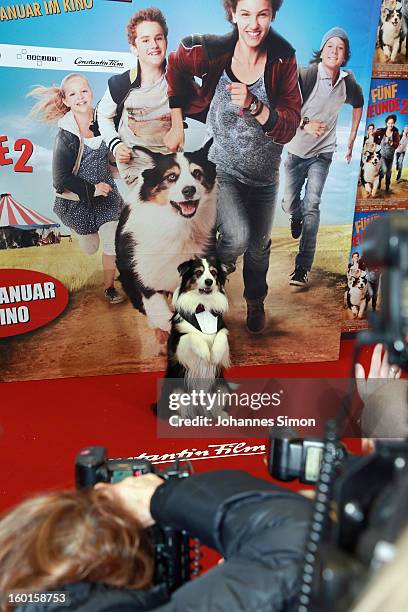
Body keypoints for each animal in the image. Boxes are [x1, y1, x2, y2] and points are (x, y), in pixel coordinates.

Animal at [115, 142, 217, 344]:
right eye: (171, 177)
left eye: (197, 173)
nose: (189, 190)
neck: (177, 226)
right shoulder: (144, 273)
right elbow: (159, 311)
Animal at [158, 258, 231, 420]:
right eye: (198, 272)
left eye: (214, 272)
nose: (209, 281)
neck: (203, 306)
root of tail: (198, 406)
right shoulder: (177, 343)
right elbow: (192, 335)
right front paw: (205, 353)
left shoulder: (222, 327)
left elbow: (222, 335)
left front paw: (214, 355)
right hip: (174, 390)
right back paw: (176, 419)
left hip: (222, 387)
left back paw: (223, 416)